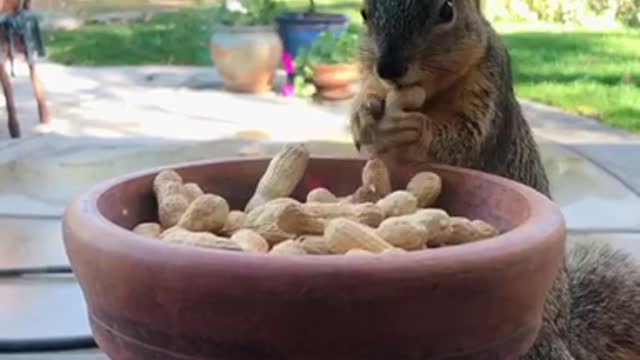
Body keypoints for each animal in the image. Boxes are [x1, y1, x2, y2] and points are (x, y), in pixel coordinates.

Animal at [350, 1, 640, 358]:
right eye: (364, 13)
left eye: (446, 11)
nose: (388, 68)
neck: (429, 95)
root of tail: (564, 337)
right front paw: (362, 114)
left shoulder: (487, 93)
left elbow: (461, 142)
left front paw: (416, 130)